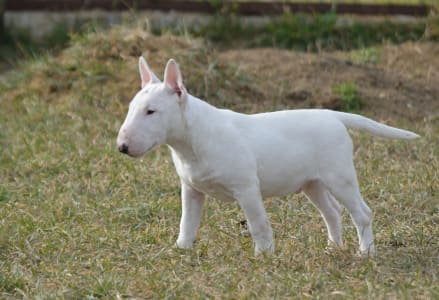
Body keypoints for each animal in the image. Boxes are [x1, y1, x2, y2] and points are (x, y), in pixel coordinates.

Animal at [117, 57, 420, 256]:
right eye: (132, 108)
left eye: (151, 111)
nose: (121, 147)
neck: (192, 140)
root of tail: (332, 115)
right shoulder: (191, 190)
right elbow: (187, 223)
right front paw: (180, 250)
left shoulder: (247, 189)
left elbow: (258, 224)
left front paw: (263, 255)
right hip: (312, 183)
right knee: (332, 212)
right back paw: (333, 248)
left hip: (340, 177)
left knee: (362, 212)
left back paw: (365, 252)